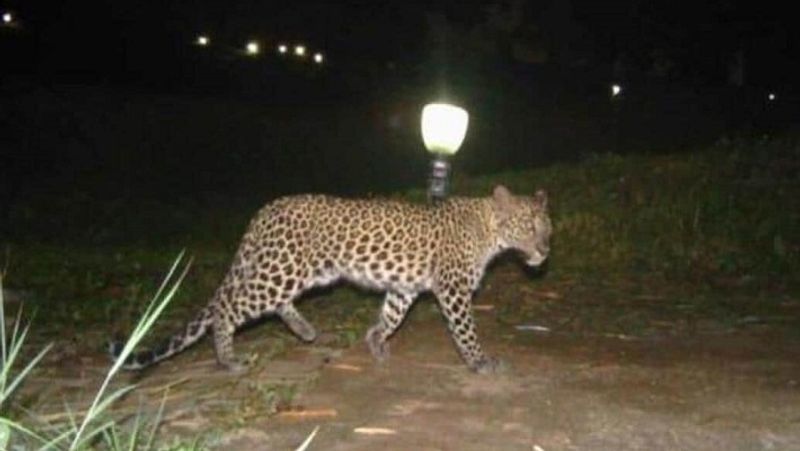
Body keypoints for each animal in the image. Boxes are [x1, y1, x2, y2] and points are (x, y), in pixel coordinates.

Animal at [111, 185, 552, 376]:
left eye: (547, 228)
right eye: (530, 227)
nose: (546, 250)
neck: (489, 230)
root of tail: (263, 212)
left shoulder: (404, 287)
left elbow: (391, 316)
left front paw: (376, 344)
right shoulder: (454, 290)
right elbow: (465, 330)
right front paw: (480, 361)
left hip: (295, 272)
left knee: (264, 303)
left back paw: (305, 331)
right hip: (282, 270)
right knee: (228, 308)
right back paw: (228, 359)